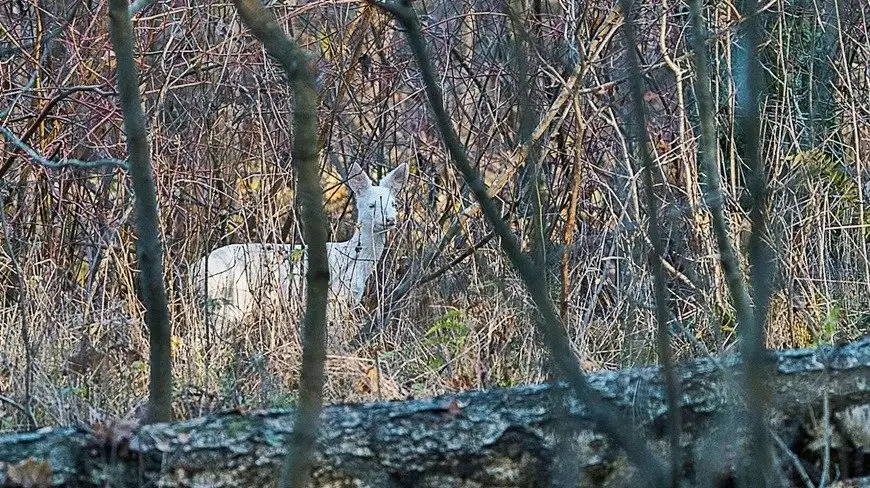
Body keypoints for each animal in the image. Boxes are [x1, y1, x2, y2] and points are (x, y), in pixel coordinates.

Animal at [191, 163, 408, 332]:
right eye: (372, 205)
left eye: (394, 204)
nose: (390, 220)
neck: (353, 258)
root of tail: (195, 270)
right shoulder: (334, 300)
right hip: (232, 299)